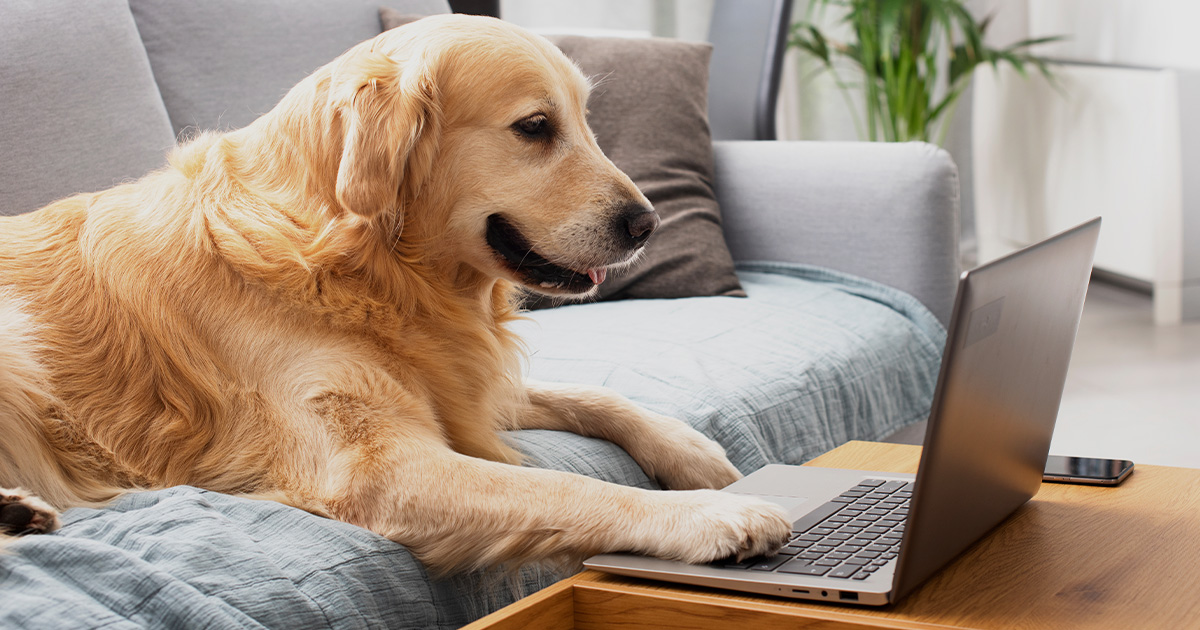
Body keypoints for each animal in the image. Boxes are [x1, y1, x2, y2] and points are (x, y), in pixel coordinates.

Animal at [0, 14, 792, 568]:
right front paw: (713, 516)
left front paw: (692, 452)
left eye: (586, 122)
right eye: (536, 127)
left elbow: (592, 395)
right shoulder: (378, 467)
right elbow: (569, 487)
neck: (367, 264)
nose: (648, 224)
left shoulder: (457, 380)